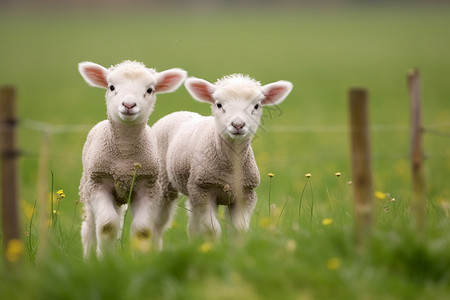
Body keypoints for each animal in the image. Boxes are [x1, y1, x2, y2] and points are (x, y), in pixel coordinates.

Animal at [78, 59, 187, 256]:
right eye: (111, 87)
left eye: (150, 89)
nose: (128, 105)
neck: (124, 155)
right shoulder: (98, 184)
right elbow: (107, 226)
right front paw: (105, 258)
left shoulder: (148, 188)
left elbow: (142, 230)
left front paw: (139, 257)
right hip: (87, 187)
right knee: (89, 226)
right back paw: (88, 255)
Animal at [151, 74, 292, 240]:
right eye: (219, 105)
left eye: (257, 106)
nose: (238, 125)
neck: (229, 171)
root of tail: (179, 112)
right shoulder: (203, 191)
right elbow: (212, 229)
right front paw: (215, 245)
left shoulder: (246, 194)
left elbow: (239, 229)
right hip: (164, 183)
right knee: (158, 225)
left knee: (192, 225)